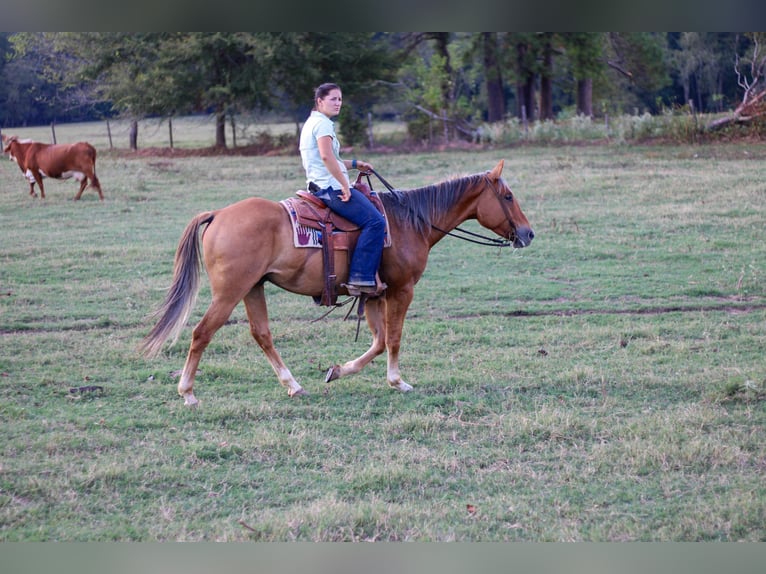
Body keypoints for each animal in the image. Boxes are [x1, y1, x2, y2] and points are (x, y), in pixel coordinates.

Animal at [141, 160, 536, 408]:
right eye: (507, 196)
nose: (528, 233)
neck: (410, 221)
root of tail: (219, 214)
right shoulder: (402, 290)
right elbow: (394, 338)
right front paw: (398, 381)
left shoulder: (374, 295)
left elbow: (378, 342)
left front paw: (338, 371)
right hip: (230, 292)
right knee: (202, 333)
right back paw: (188, 392)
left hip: (253, 288)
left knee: (262, 334)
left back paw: (294, 386)